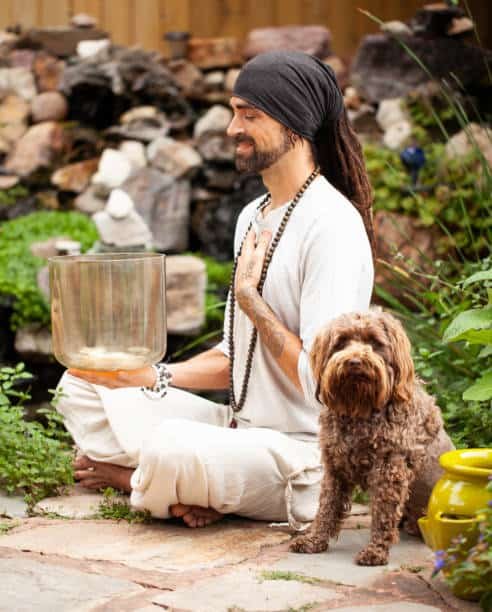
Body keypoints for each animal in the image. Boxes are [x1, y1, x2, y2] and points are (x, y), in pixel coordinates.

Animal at [288, 314, 454, 568]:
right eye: (341, 342)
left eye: (375, 342)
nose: (355, 362)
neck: (360, 408)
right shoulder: (334, 467)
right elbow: (326, 506)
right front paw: (314, 540)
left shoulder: (389, 470)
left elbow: (383, 514)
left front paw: (375, 551)